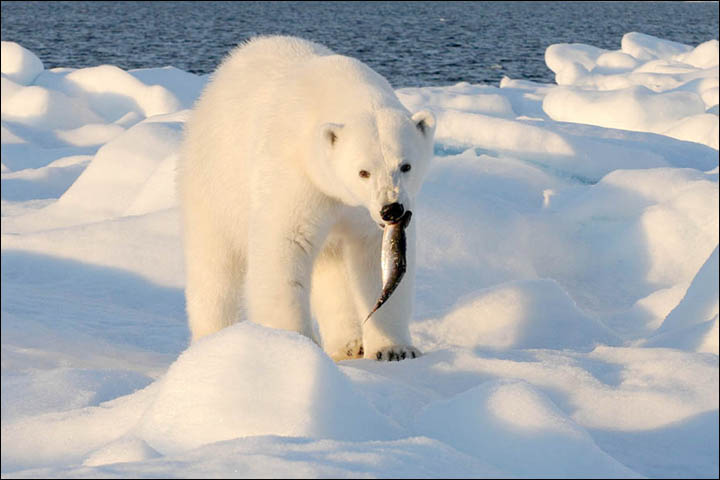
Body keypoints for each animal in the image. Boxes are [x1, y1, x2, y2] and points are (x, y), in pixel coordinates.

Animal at [177, 36, 436, 360]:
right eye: (363, 171)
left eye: (406, 165)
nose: (392, 210)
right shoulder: (295, 175)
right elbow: (284, 246)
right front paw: (292, 344)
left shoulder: (359, 211)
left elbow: (374, 260)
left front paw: (394, 349)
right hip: (215, 181)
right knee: (214, 267)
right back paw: (211, 339)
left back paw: (350, 344)